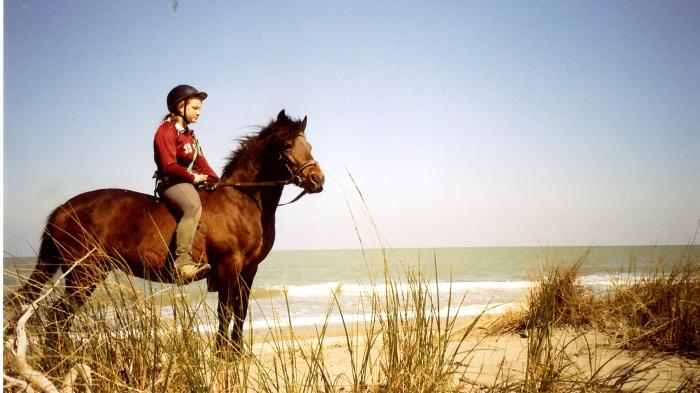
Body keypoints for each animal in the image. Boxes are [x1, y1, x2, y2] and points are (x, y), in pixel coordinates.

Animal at [6, 109, 324, 352]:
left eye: (308, 146)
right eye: (286, 145)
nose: (317, 180)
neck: (242, 200)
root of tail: (61, 209)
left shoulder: (249, 269)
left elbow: (241, 312)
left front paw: (236, 354)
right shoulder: (227, 266)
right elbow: (225, 312)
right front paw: (222, 356)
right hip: (84, 274)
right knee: (57, 317)